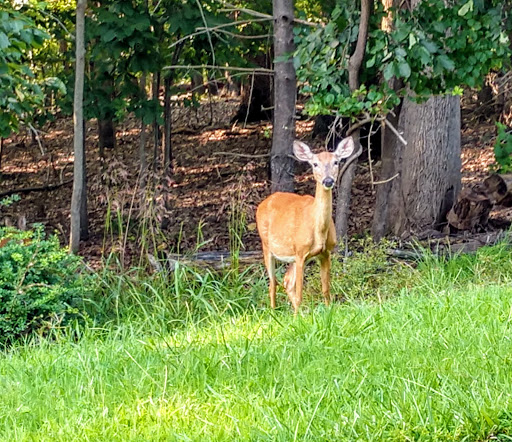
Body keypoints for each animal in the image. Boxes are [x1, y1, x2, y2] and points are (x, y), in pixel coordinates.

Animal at [256, 136, 356, 312]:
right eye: (315, 164)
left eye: (336, 162)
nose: (328, 181)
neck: (319, 230)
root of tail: (263, 203)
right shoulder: (301, 251)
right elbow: (300, 294)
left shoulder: (325, 252)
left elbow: (326, 290)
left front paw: (329, 312)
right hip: (267, 246)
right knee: (273, 283)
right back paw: (274, 312)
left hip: (295, 257)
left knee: (287, 281)